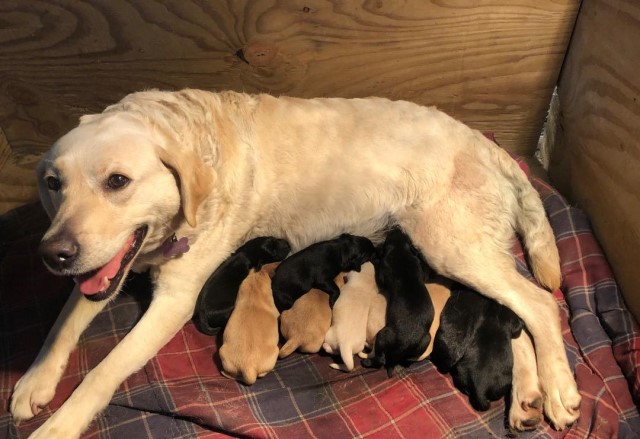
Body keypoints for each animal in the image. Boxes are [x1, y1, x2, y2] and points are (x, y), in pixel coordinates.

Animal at [360, 229, 436, 376]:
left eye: (387, 238)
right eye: (405, 235)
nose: (396, 227)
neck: (400, 249)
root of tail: (401, 348)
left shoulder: (383, 273)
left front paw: (374, 260)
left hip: (382, 335)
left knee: (380, 359)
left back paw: (366, 362)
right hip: (426, 340)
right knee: (410, 359)